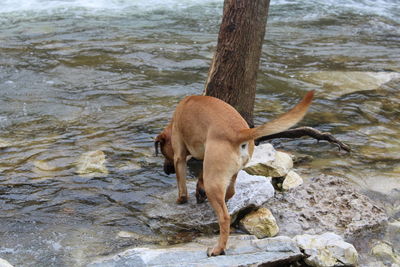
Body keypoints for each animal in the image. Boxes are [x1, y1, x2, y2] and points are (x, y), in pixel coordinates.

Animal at [155, 91, 314, 258]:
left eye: (164, 153)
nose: (166, 171)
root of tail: (238, 133)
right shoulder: (206, 158)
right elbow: (200, 175)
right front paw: (199, 190)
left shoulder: (179, 157)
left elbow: (182, 186)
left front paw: (181, 199)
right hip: (227, 173)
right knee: (230, 193)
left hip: (213, 182)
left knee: (224, 217)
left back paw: (218, 248)